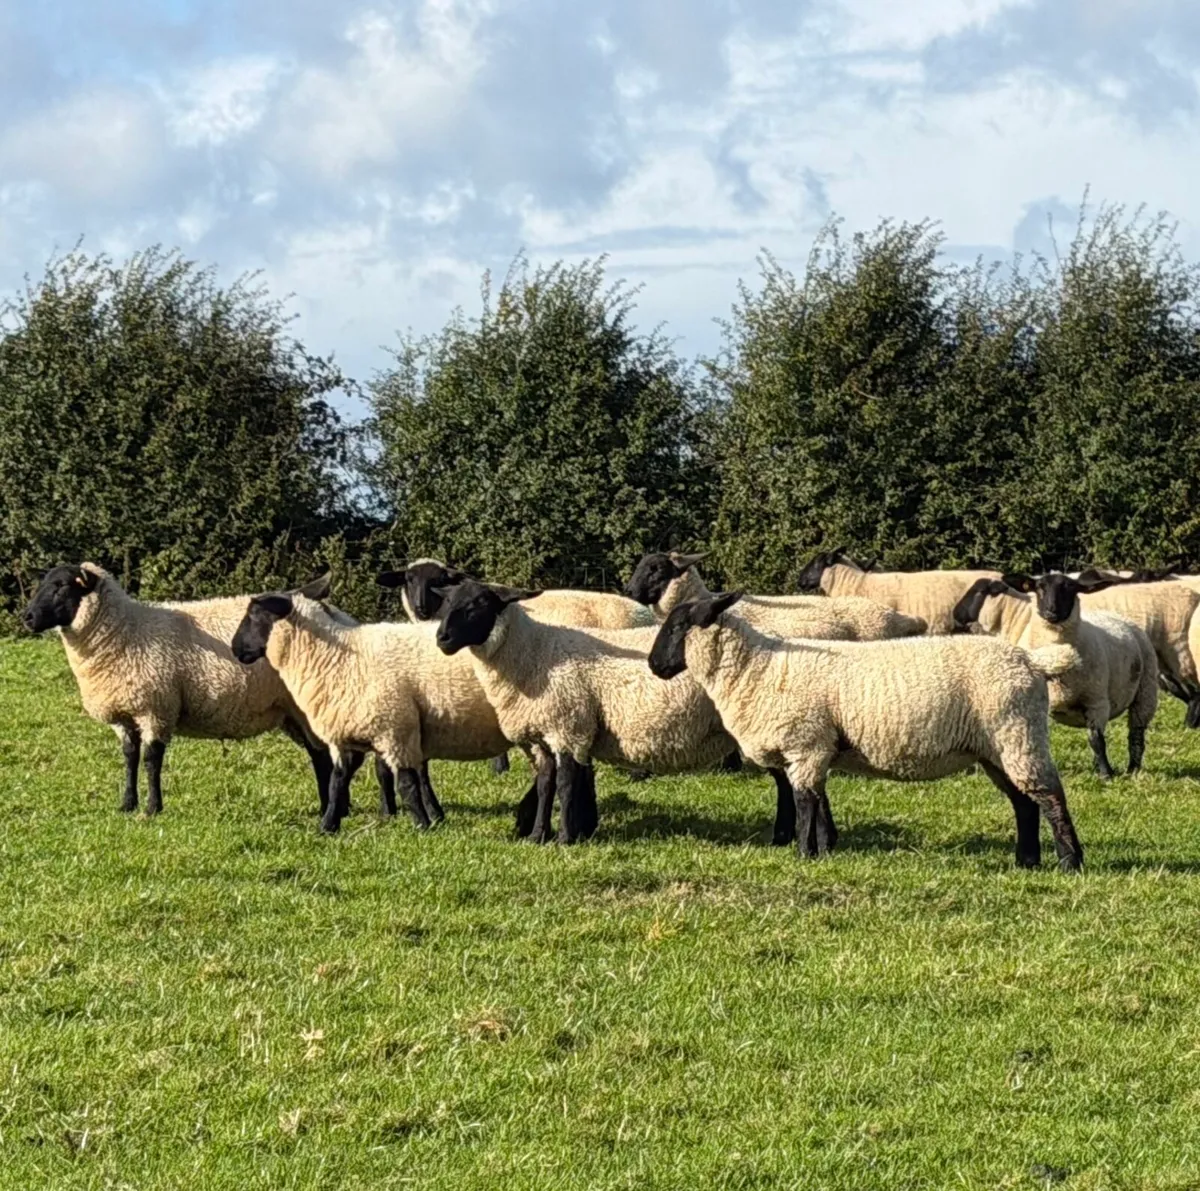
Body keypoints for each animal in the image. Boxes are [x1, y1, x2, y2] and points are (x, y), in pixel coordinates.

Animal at [20, 563, 363, 816]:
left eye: (61, 586)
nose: (27, 617)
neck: (124, 630)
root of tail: (328, 608)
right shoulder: (125, 714)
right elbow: (129, 757)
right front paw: (127, 805)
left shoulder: (156, 708)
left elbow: (151, 759)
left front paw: (152, 809)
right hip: (295, 711)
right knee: (321, 756)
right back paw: (332, 808)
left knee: (330, 757)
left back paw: (333, 809)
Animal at [229, 588, 554, 835]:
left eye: (255, 615)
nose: (235, 649)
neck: (338, 657)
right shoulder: (348, 733)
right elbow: (337, 781)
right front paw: (328, 826)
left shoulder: (395, 729)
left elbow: (407, 784)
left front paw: (423, 826)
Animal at [431, 579, 766, 846]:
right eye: (447, 602)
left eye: (479, 603)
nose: (442, 639)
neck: (536, 653)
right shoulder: (545, 733)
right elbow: (545, 785)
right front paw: (538, 835)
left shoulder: (568, 726)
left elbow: (565, 784)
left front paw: (565, 838)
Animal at [646, 591, 1085, 872]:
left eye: (679, 625)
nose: (654, 666)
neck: (758, 667)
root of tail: (1032, 660)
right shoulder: (818, 746)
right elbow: (819, 801)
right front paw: (824, 850)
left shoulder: (806, 743)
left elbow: (804, 804)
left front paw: (804, 855)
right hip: (996, 746)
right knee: (1023, 801)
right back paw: (1026, 862)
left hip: (1018, 731)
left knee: (1050, 796)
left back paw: (1070, 862)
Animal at [952, 573, 1158, 778]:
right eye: (1039, 587)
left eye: (1070, 587)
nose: (1051, 612)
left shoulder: (1096, 701)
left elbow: (1097, 741)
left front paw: (1106, 774)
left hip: (1145, 691)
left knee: (1136, 734)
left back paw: (1133, 769)